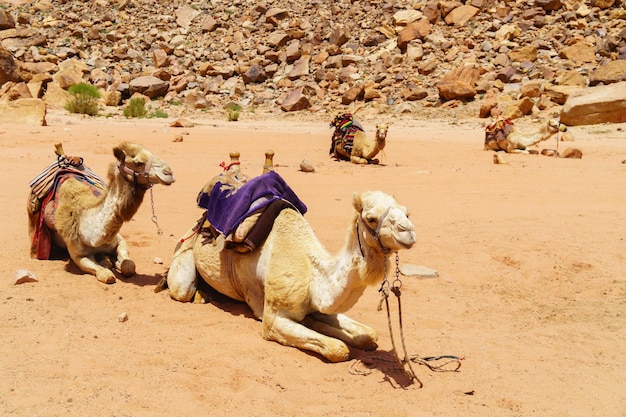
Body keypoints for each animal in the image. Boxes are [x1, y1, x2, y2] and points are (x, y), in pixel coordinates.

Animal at [27, 141, 173, 282]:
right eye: (137, 162)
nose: (169, 173)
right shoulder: (78, 256)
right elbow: (106, 274)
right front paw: (107, 266)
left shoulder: (119, 240)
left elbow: (128, 266)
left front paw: (115, 262)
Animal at [163, 158, 414, 360]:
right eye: (371, 218)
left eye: (406, 212)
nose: (409, 231)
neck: (311, 270)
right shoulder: (272, 319)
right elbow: (338, 349)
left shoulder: (319, 305)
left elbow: (368, 334)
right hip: (184, 257)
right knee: (181, 289)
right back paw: (200, 295)